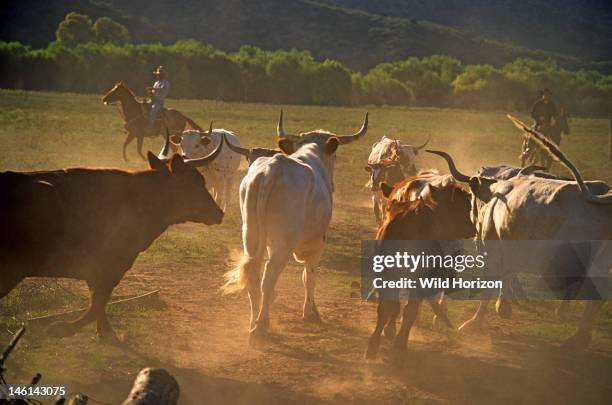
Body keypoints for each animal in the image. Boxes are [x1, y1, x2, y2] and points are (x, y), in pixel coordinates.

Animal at [0, 140, 225, 340]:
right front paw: (61, 328)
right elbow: (97, 303)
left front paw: (104, 332)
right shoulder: (110, 264)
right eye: (195, 184)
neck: (140, 198)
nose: (219, 213)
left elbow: (98, 301)